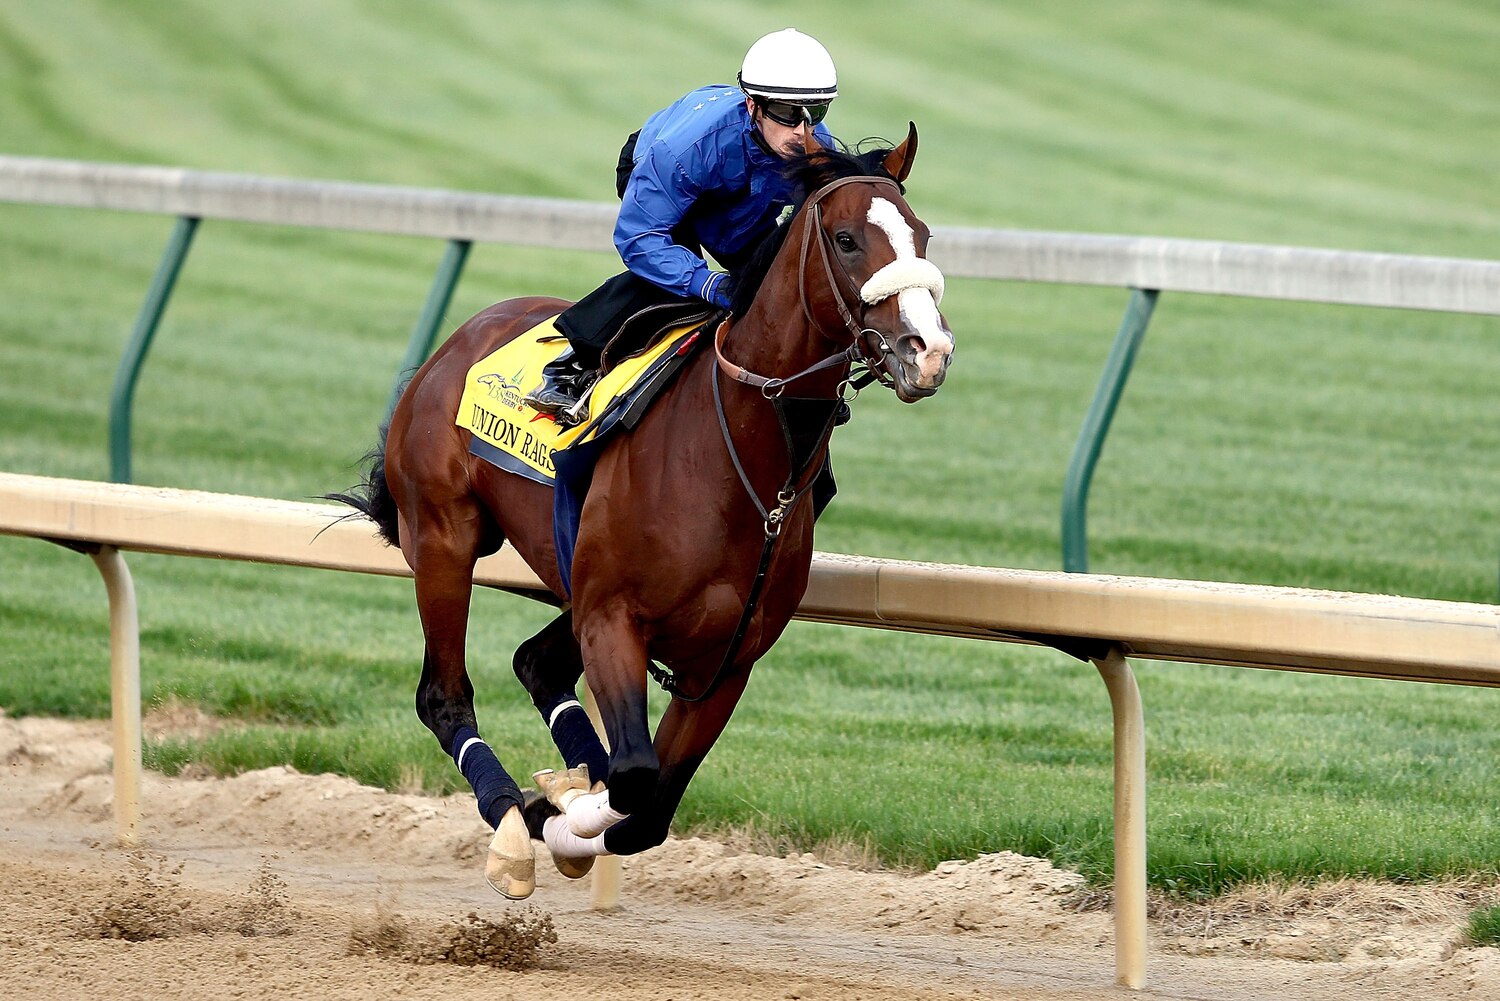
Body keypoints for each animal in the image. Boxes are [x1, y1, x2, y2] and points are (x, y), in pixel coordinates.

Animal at [332, 125, 954, 899]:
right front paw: (556, 813)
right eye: (845, 240)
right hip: (446, 536)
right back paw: (510, 823)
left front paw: (565, 803)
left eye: (922, 236)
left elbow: (650, 807)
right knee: (444, 694)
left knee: (537, 663)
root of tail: (457, 341)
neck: (735, 457)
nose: (928, 351)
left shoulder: (723, 662)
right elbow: (632, 776)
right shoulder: (612, 617)